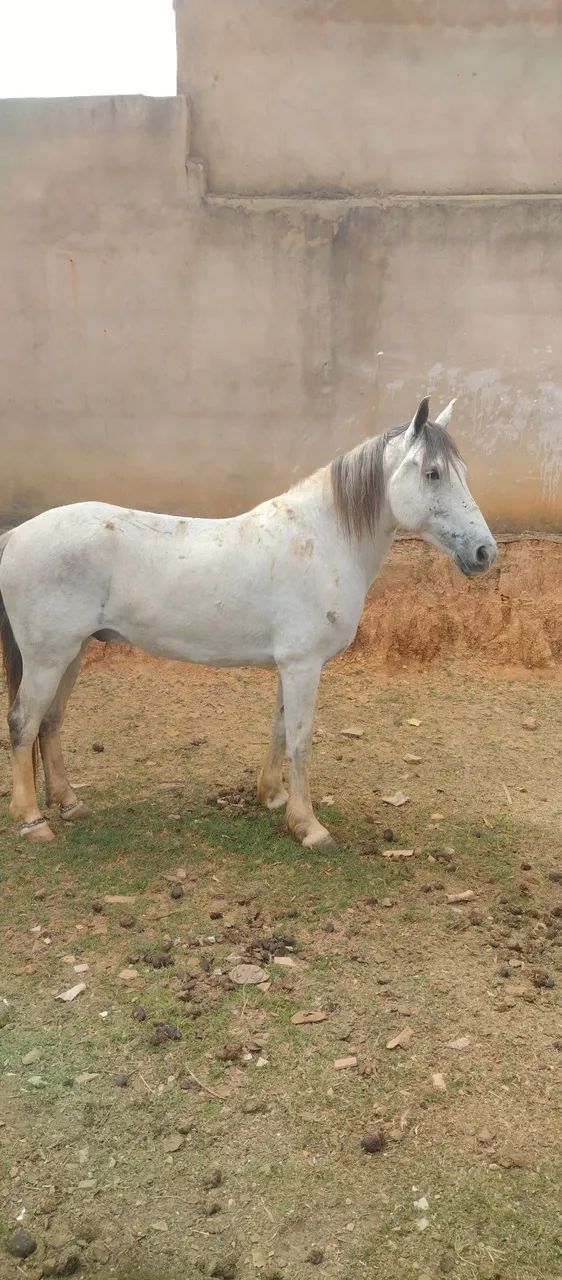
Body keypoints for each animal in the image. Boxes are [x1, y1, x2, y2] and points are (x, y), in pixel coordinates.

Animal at [0, 396, 496, 848]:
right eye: (432, 473)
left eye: (463, 471)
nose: (484, 552)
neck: (320, 540)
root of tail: (16, 534)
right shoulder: (302, 665)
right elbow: (300, 740)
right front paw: (309, 827)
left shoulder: (290, 666)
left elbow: (279, 727)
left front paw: (273, 798)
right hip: (49, 657)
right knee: (24, 722)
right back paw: (32, 821)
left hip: (73, 651)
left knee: (50, 722)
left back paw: (69, 804)